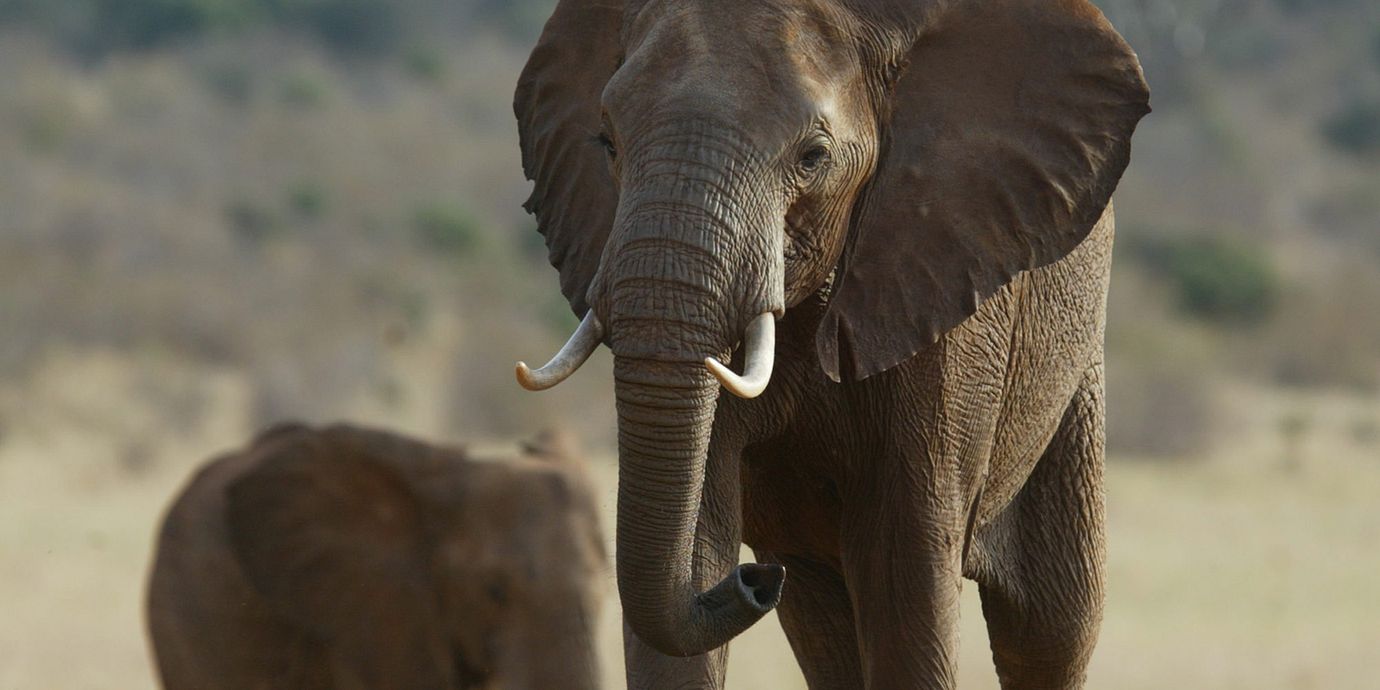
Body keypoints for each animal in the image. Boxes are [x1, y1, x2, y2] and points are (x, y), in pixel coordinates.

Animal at [512, 0, 1150, 688]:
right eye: (607, 143)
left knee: (1051, 628)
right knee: (827, 631)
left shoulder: (944, 300)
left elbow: (908, 574)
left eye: (813, 156)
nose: (756, 580)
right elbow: (697, 538)